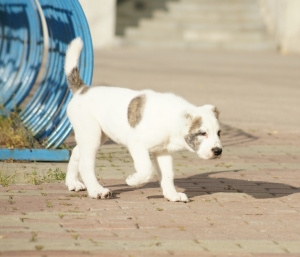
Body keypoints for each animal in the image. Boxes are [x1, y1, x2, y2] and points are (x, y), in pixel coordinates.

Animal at [63, 38, 223, 202]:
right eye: (202, 133)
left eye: (219, 133)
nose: (218, 151)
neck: (171, 120)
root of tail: (82, 90)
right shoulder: (136, 143)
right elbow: (147, 168)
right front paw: (133, 180)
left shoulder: (163, 151)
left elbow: (168, 175)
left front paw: (172, 195)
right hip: (92, 134)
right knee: (86, 164)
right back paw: (97, 191)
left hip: (96, 135)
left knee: (76, 152)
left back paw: (73, 183)